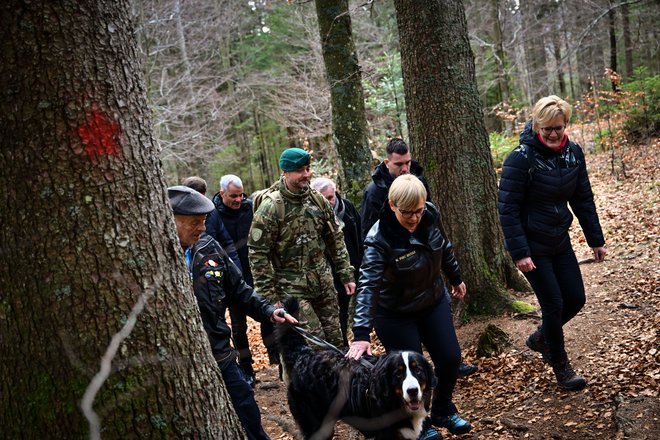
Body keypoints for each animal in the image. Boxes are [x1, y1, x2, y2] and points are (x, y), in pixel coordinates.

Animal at [276, 298, 436, 438]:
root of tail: (304, 355)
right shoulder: (385, 433)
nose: (412, 391)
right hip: (316, 425)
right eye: (398, 374)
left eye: (418, 371)